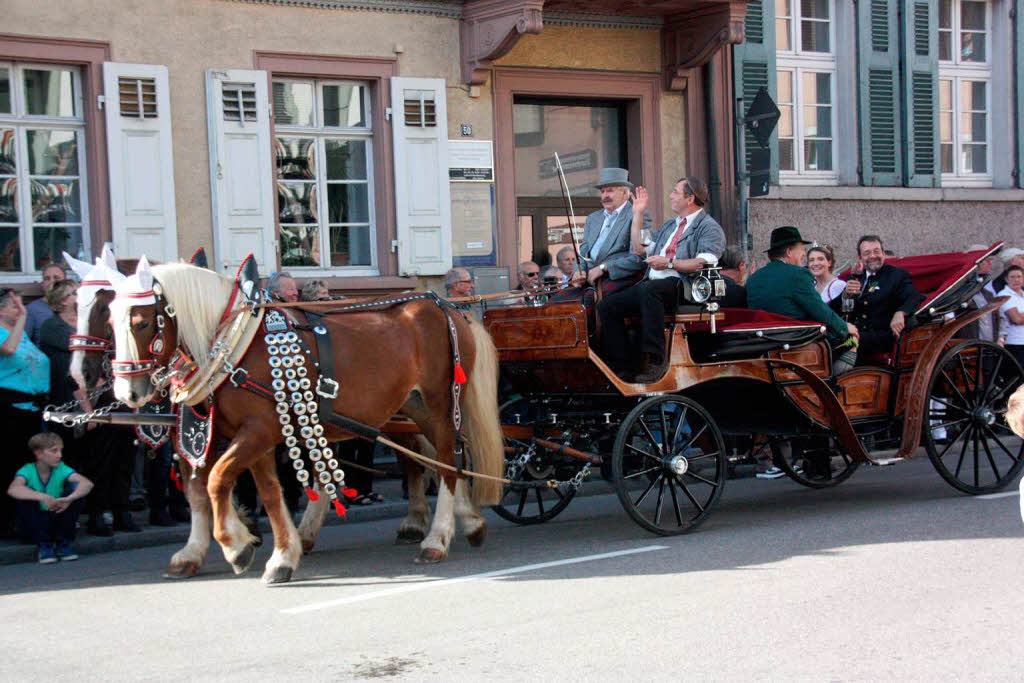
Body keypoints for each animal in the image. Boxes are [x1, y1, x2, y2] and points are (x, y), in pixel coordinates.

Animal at [111, 262, 503, 581]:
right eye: (111, 320)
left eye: (141, 322)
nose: (128, 392)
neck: (233, 343)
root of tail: (449, 308)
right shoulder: (228, 431)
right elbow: (247, 491)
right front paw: (269, 552)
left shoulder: (257, 430)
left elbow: (218, 480)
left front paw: (237, 547)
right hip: (414, 408)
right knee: (442, 458)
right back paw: (468, 523)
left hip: (440, 404)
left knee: (448, 461)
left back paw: (436, 538)